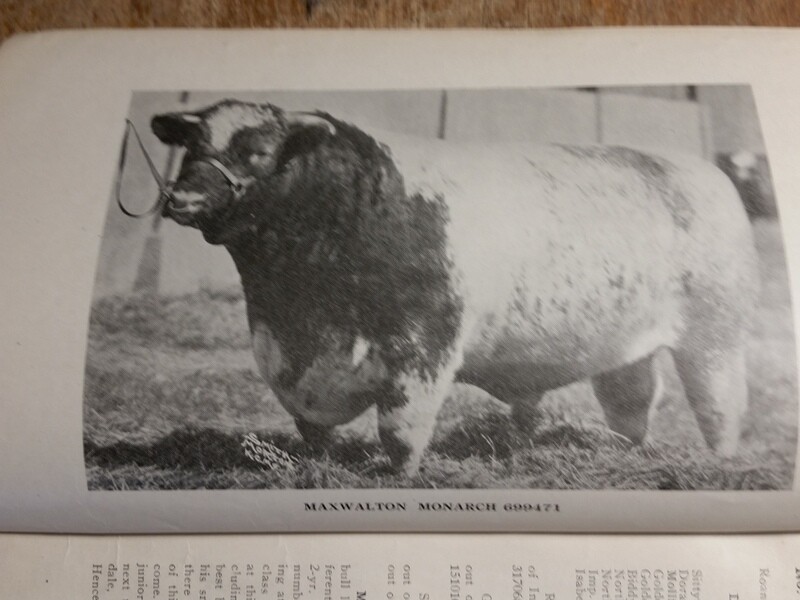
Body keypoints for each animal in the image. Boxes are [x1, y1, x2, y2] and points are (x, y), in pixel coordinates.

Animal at [150, 99, 759, 477]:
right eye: (193, 146)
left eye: (256, 151)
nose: (182, 198)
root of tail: (699, 170)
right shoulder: (286, 352)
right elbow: (311, 428)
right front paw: (317, 466)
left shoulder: (423, 346)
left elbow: (400, 429)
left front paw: (401, 477)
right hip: (624, 343)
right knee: (631, 404)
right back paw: (628, 453)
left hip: (715, 339)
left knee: (720, 408)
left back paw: (723, 465)